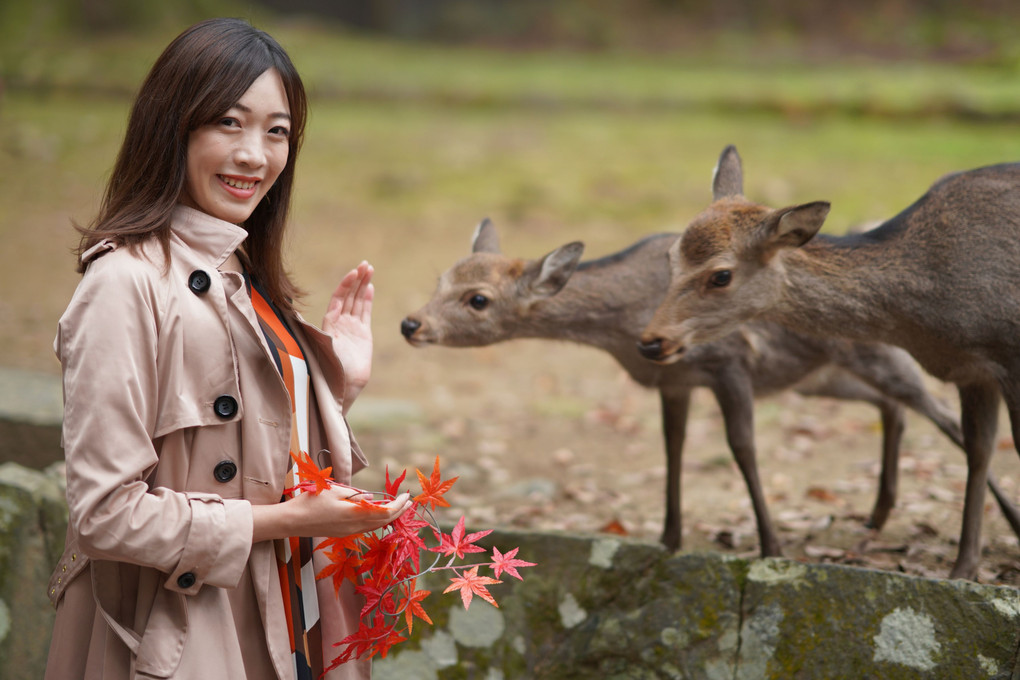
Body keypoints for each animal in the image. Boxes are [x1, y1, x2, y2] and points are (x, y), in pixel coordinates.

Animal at [399, 221, 1020, 562]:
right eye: (439, 280)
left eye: (478, 298)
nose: (410, 323)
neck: (626, 324)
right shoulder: (672, 381)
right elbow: (671, 448)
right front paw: (668, 539)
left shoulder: (728, 363)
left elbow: (742, 447)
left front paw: (771, 546)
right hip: (821, 378)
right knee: (894, 408)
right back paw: (877, 515)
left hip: (876, 356)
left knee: (941, 415)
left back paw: (1001, 523)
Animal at [636, 144, 1020, 579]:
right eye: (670, 257)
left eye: (721, 275)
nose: (651, 342)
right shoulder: (972, 372)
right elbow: (980, 450)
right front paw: (963, 569)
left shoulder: (1010, 356)